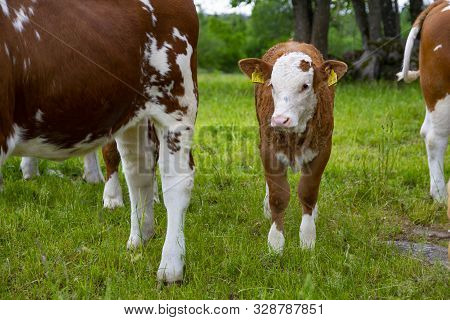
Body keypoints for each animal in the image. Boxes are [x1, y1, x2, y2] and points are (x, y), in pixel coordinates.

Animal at [0, 0, 198, 282]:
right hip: (132, 111)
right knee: (138, 172)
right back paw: (140, 238)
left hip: (176, 103)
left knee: (176, 180)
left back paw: (170, 267)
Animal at [239, 42, 348, 252]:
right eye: (272, 85)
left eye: (305, 86)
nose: (280, 119)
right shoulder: (268, 149)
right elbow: (278, 196)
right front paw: (275, 243)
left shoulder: (323, 149)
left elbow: (308, 191)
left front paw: (307, 239)